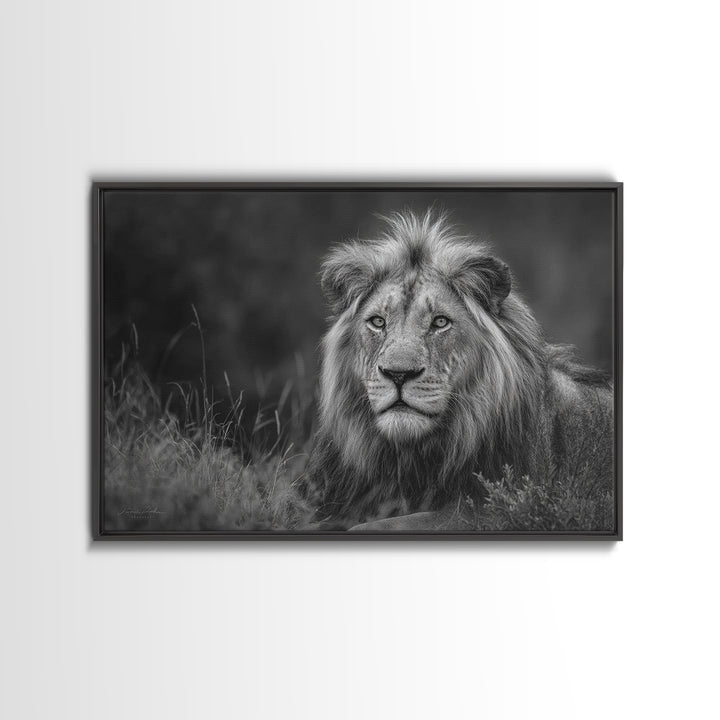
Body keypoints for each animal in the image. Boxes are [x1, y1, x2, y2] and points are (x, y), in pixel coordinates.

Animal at [305, 209, 614, 532]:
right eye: (378, 322)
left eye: (440, 322)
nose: (398, 374)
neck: (409, 459)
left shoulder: (496, 511)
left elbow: (380, 526)